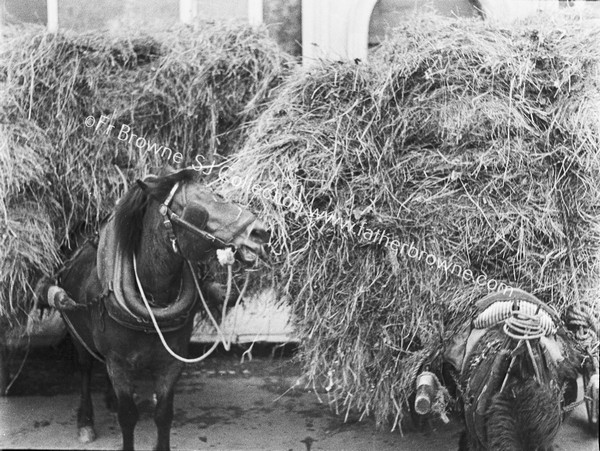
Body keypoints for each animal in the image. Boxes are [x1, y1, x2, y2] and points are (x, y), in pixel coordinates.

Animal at [38, 168, 268, 450]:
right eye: (201, 202)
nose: (260, 232)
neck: (152, 302)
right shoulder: (119, 363)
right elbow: (128, 416)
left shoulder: (171, 363)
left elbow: (164, 414)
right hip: (77, 335)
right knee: (85, 370)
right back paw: (85, 422)